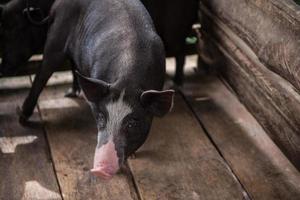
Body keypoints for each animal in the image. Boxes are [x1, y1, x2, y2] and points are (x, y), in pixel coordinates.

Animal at [17, 0, 175, 180]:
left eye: (132, 123)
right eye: (101, 116)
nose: (99, 170)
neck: (127, 80)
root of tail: (57, 5)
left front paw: (133, 157)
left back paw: (73, 93)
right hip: (55, 38)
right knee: (42, 74)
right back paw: (23, 118)